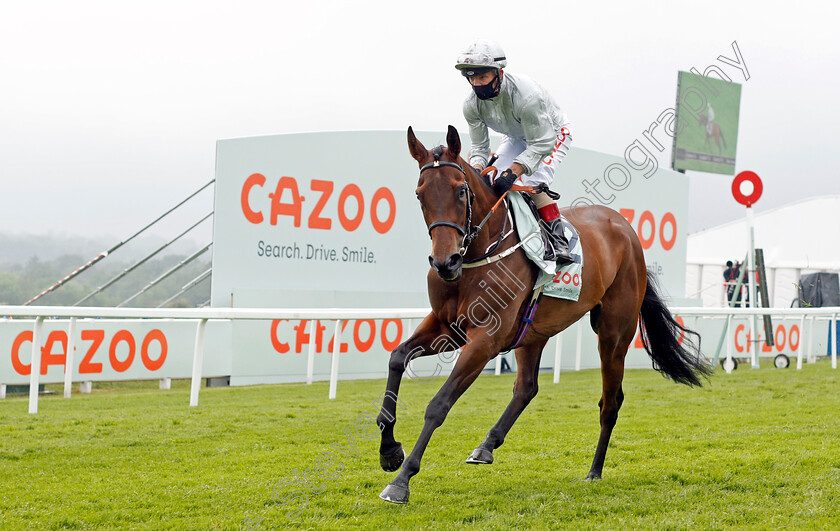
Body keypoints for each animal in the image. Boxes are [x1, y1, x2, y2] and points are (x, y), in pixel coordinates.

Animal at [374, 127, 708, 504]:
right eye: (419, 195)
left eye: (460, 190)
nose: (445, 263)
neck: (479, 252)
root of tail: (627, 232)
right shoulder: (448, 327)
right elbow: (397, 357)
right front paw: (389, 451)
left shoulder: (485, 340)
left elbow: (439, 403)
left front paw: (401, 480)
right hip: (532, 331)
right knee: (527, 387)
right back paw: (486, 445)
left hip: (614, 333)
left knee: (610, 401)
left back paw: (594, 471)